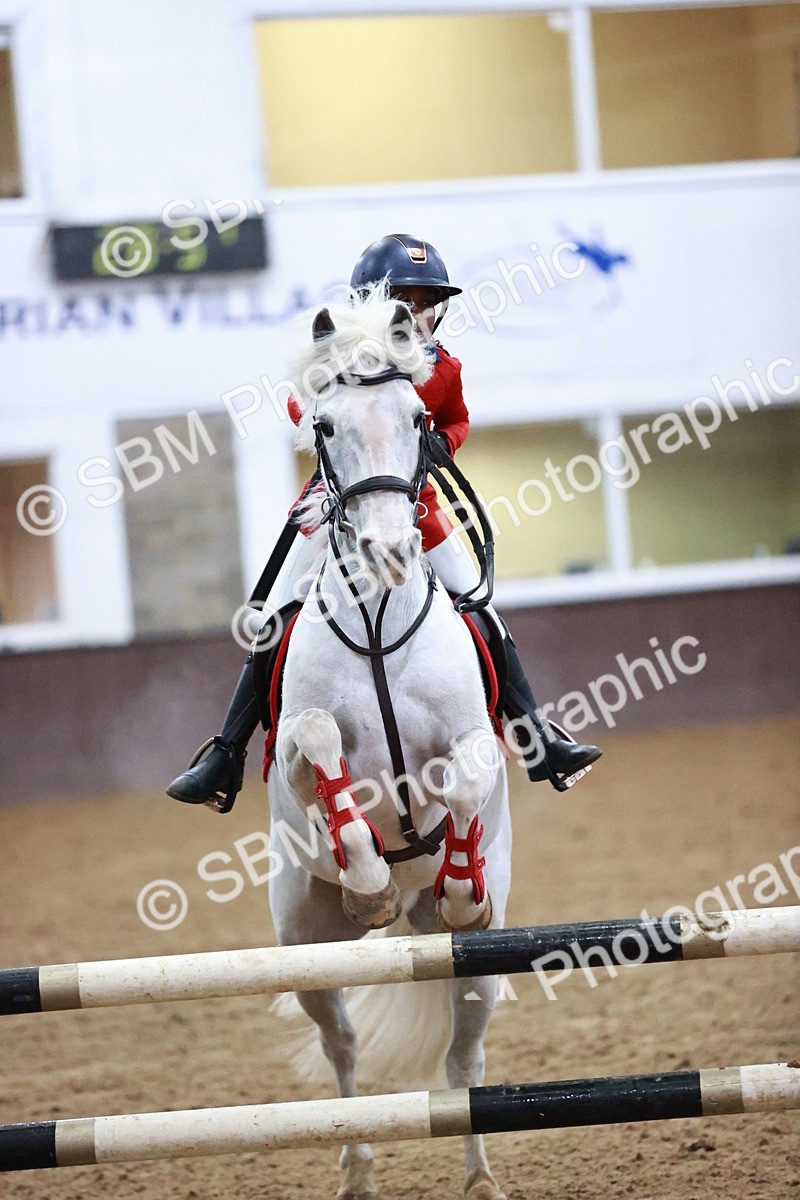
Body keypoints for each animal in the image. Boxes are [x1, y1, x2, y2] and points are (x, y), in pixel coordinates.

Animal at [266, 287, 512, 1200]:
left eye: (417, 417)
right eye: (325, 425)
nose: (389, 550)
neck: (376, 617)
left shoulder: (472, 739)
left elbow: (467, 782)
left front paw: (460, 880)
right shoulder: (297, 750)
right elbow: (319, 749)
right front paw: (367, 874)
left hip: (480, 968)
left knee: (465, 1060)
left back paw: (481, 1177)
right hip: (303, 947)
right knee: (342, 1051)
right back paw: (357, 1168)